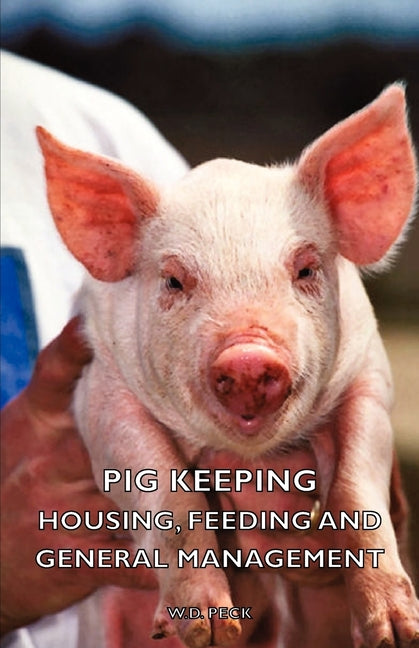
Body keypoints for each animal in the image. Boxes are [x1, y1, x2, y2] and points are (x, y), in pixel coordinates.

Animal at [36, 83, 419, 648]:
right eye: (174, 281)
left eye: (306, 269)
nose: (248, 355)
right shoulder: (100, 387)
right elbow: (167, 489)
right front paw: (206, 629)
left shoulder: (369, 374)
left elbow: (356, 489)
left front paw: (396, 631)